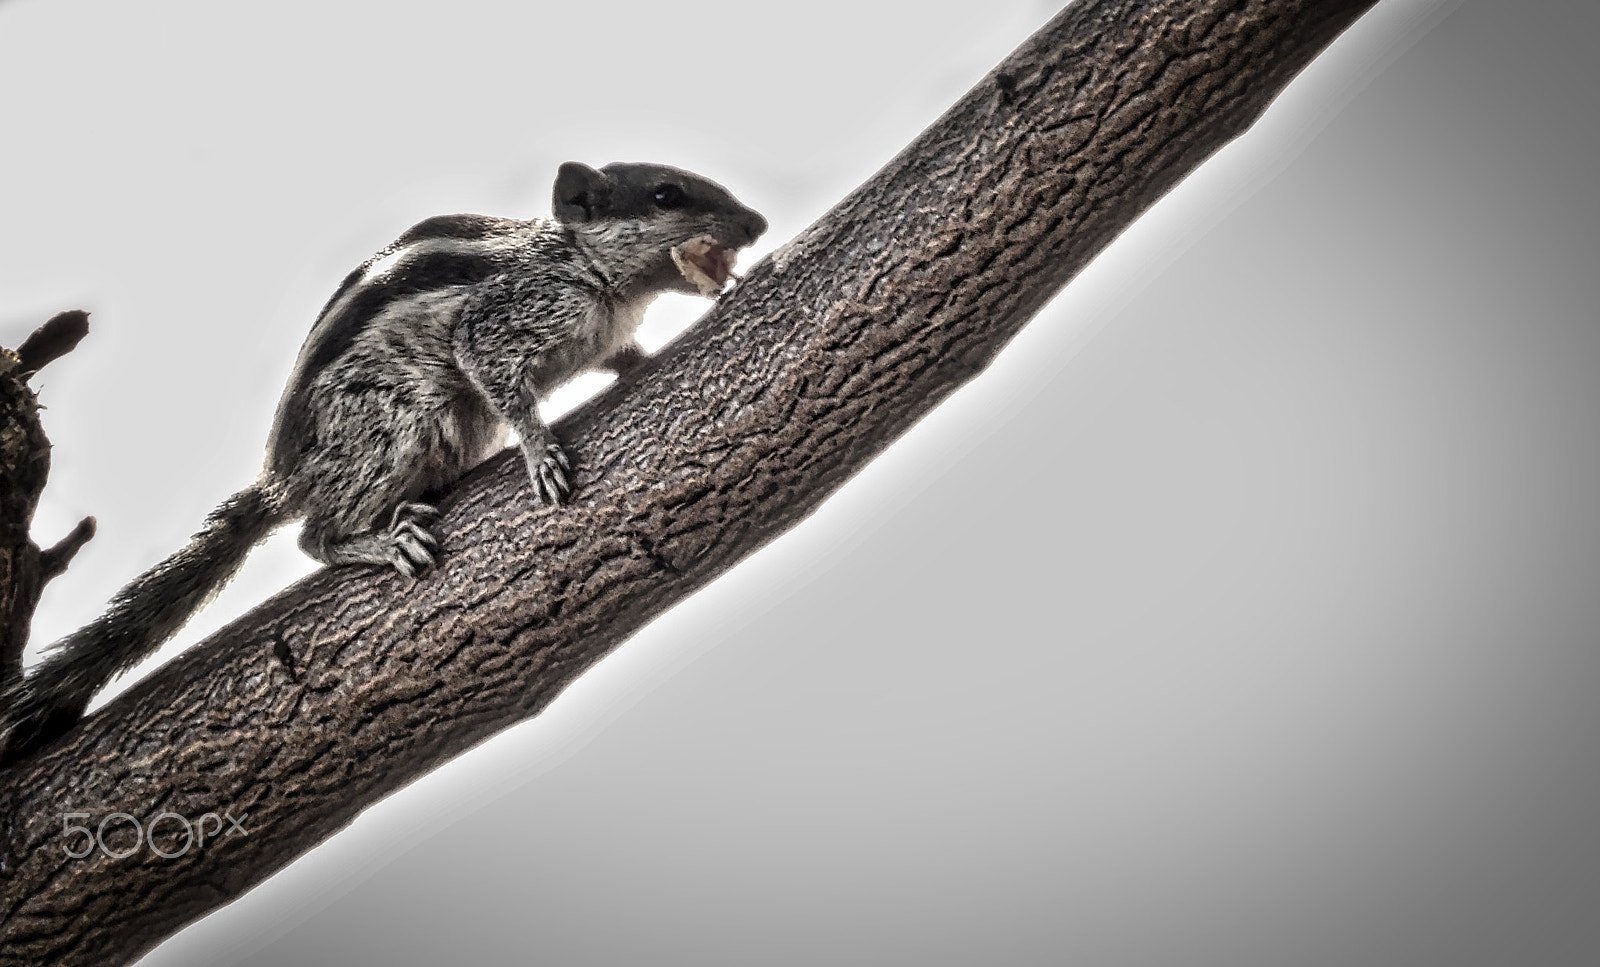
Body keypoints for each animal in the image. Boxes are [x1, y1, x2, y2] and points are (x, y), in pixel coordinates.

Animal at [0, 161, 766, 760]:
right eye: (665, 194)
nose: (757, 223)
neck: (589, 272)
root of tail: (285, 477)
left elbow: (621, 356)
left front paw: (640, 361)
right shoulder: (502, 319)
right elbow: (494, 374)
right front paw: (540, 448)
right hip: (393, 426)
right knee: (313, 535)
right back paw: (382, 539)